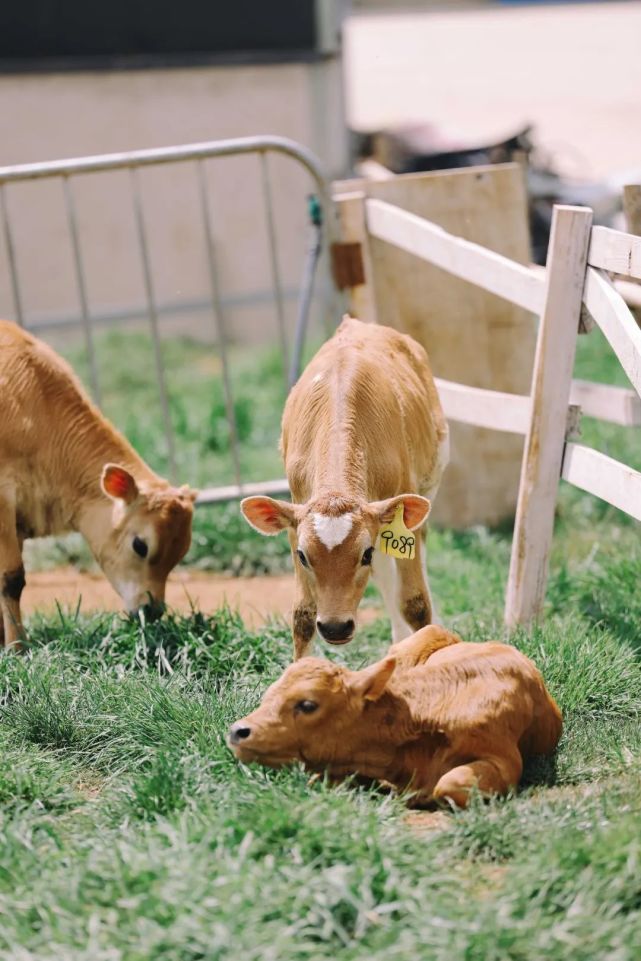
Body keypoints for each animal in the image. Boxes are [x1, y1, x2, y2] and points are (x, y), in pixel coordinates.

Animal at [239, 316, 444, 660]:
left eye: (364, 554)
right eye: (303, 556)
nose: (336, 627)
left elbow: (415, 602)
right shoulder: (295, 518)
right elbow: (302, 616)